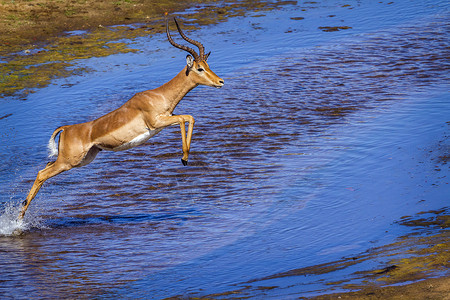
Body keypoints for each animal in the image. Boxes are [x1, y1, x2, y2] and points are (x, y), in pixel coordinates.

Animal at [18, 16, 223, 219]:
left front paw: (185, 158)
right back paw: (19, 218)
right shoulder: (157, 122)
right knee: (41, 174)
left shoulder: (167, 119)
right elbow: (184, 118)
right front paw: (184, 158)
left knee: (45, 167)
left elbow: (190, 117)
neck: (159, 96)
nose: (220, 81)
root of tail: (67, 128)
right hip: (69, 162)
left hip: (83, 159)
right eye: (199, 68)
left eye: (207, 65)